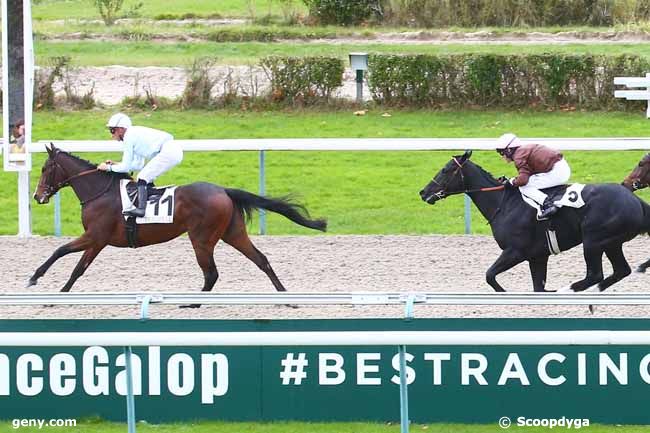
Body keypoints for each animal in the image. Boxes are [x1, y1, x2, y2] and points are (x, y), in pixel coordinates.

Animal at [28, 143, 326, 296]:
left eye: (44, 168)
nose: (37, 196)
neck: (100, 192)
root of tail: (223, 190)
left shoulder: (95, 236)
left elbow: (62, 253)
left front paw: (36, 279)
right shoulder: (96, 240)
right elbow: (75, 265)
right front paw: (57, 290)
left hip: (202, 238)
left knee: (211, 273)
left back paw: (192, 303)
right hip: (232, 233)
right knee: (260, 259)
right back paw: (284, 296)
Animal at [418, 150, 644, 292]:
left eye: (445, 170)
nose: (423, 192)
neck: (504, 203)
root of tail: (636, 201)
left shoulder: (515, 251)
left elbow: (490, 275)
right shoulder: (537, 256)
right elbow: (538, 287)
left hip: (594, 240)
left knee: (595, 274)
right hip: (611, 242)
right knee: (620, 270)